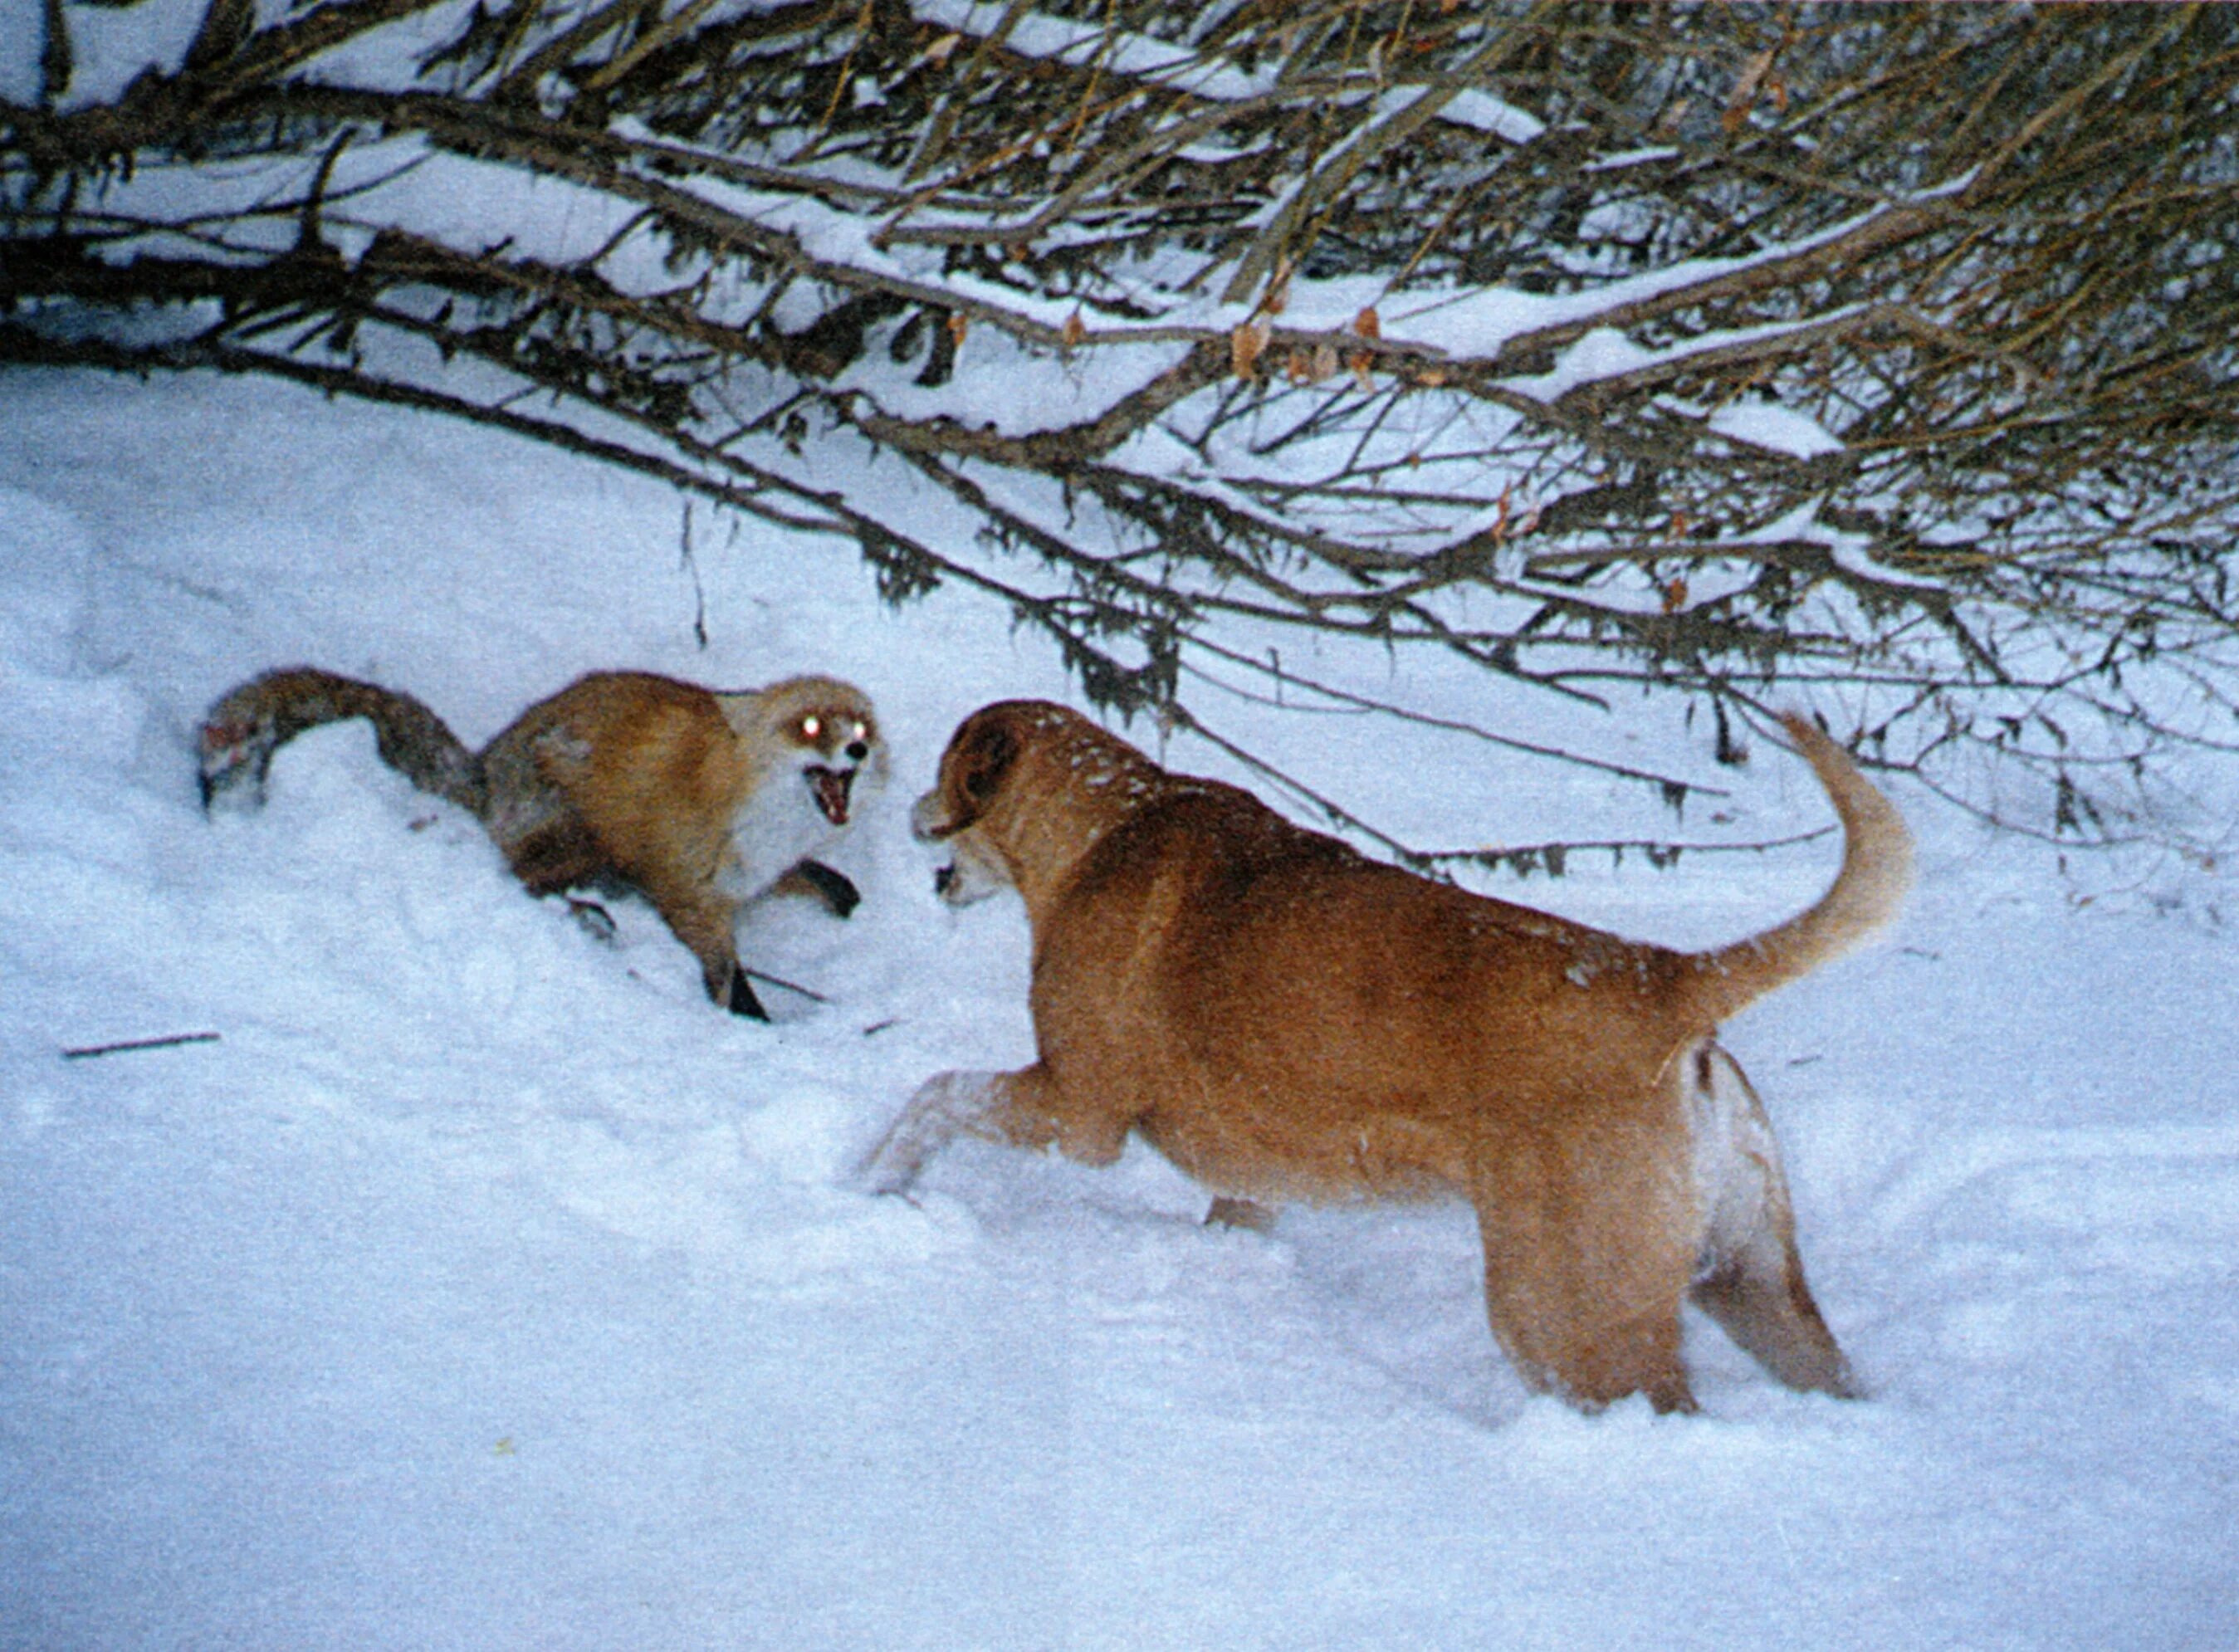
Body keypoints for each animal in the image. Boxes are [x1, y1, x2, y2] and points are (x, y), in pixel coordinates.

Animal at [855, 702, 1907, 1405]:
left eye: (943, 770)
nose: (903, 804)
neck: (1104, 823)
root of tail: (1670, 979)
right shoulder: (1244, 1183)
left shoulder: (1076, 1110)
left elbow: (933, 1095)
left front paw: (874, 1185)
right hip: (1753, 1282)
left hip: (1563, 1311)